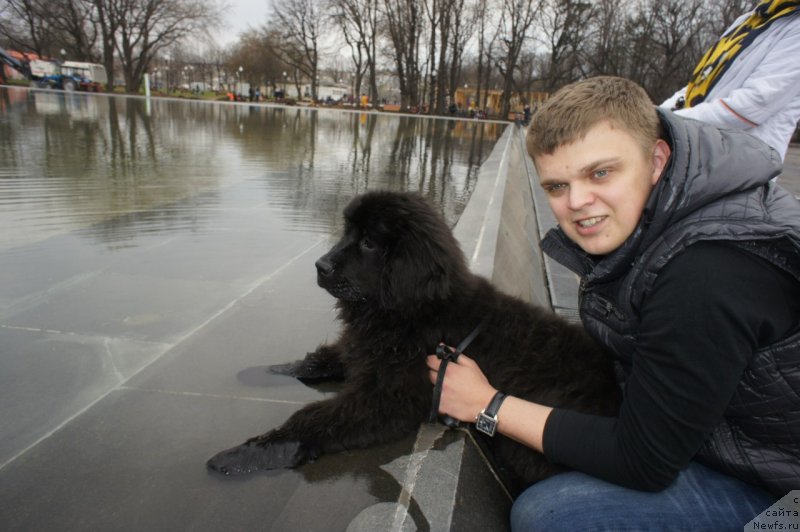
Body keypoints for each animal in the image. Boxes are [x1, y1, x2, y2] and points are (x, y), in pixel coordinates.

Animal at [206, 189, 620, 492]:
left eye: (369, 243)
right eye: (348, 233)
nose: (320, 266)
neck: (410, 313)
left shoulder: (388, 396)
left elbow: (313, 417)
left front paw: (244, 455)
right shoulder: (363, 347)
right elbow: (318, 359)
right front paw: (261, 371)